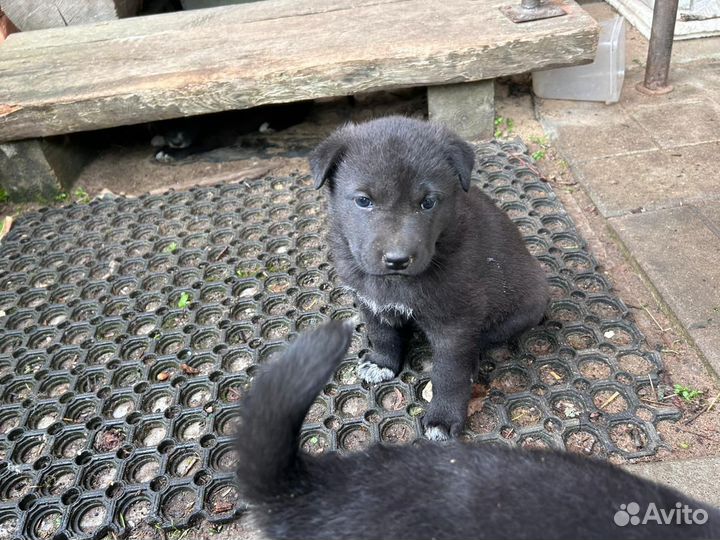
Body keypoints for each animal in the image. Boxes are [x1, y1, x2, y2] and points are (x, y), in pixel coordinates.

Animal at [310, 116, 552, 440]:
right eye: (363, 201)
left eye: (428, 203)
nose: (397, 259)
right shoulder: (369, 301)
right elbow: (382, 334)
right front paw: (382, 362)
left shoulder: (455, 325)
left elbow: (449, 374)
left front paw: (443, 417)